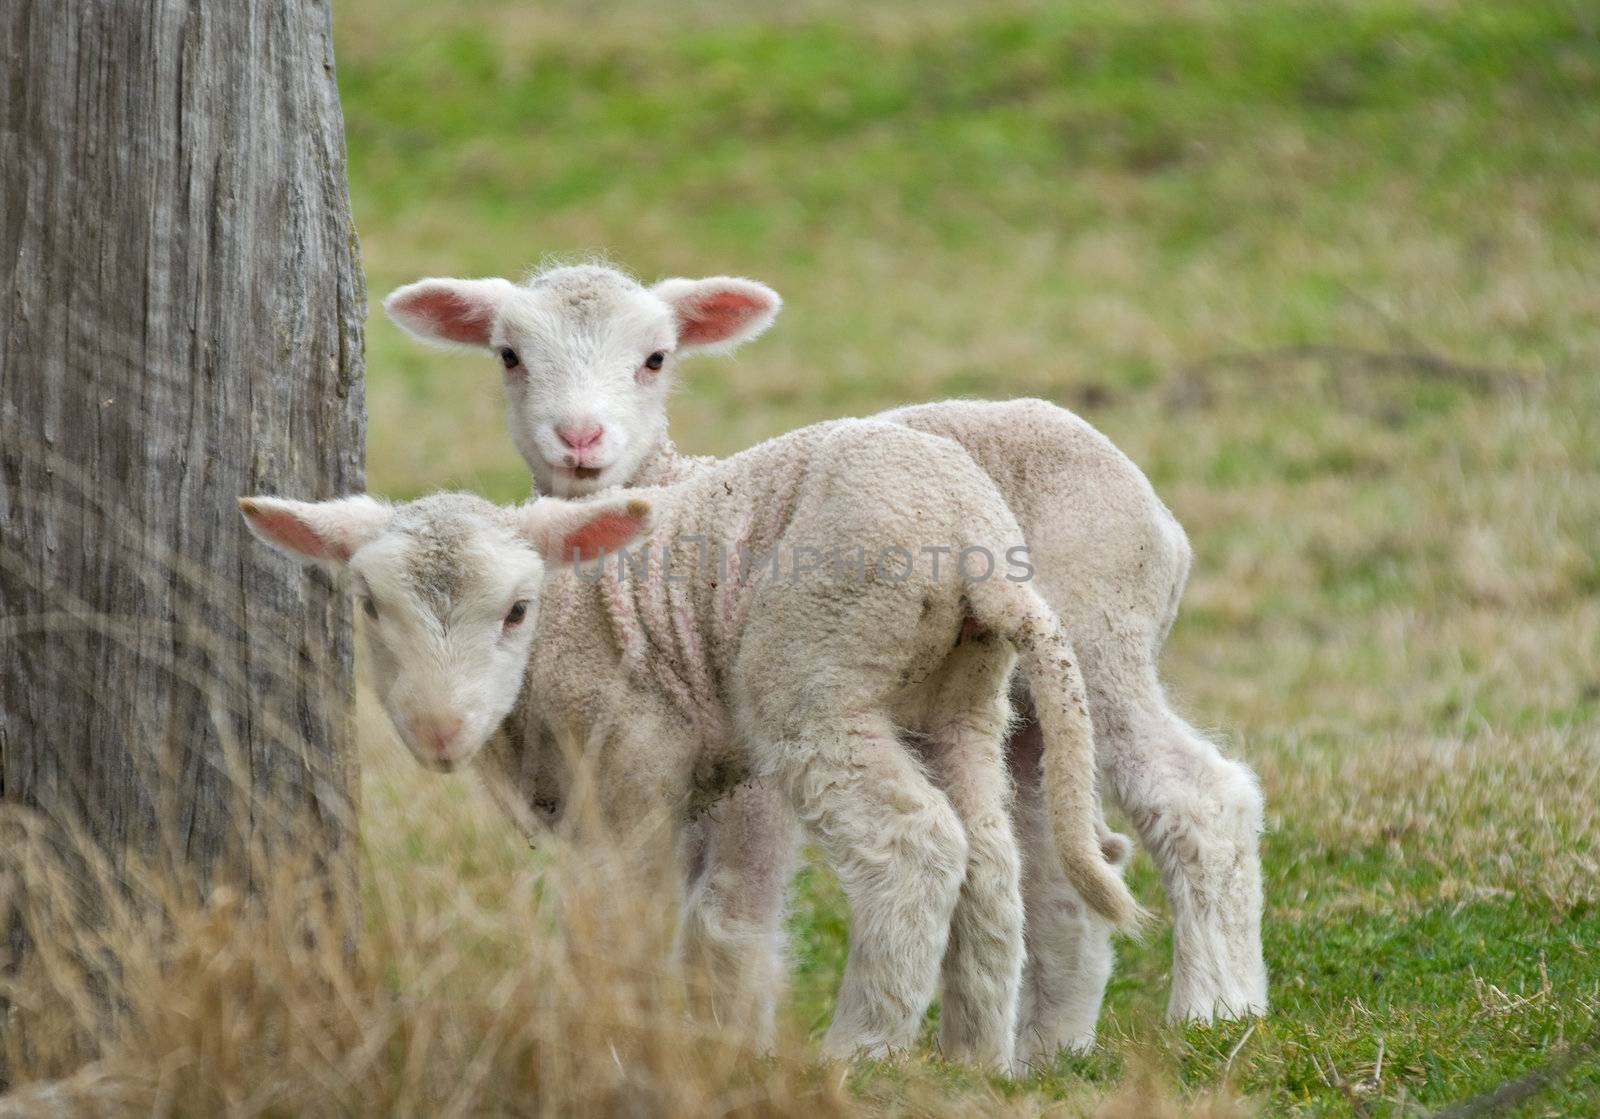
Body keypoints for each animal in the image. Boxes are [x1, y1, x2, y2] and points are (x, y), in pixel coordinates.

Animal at [236, 419, 1145, 1069]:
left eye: (517, 610)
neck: (568, 622)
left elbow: (623, 918)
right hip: (959, 696)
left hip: (817, 675)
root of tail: (971, 543)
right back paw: (971, 1059)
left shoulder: (632, 769)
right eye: (369, 605)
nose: (438, 731)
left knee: (915, 845)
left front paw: (612, 1044)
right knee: (989, 858)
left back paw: (861, 1052)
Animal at [380, 262, 1267, 1050]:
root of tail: (1154, 508)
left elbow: (726, 915)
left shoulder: (741, 778)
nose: (580, 438)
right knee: (1056, 865)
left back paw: (1213, 1010)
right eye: (509, 355)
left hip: (1100, 637)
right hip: (1022, 708)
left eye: (656, 357)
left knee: (1198, 797)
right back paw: (1047, 1048)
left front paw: (728, 1043)